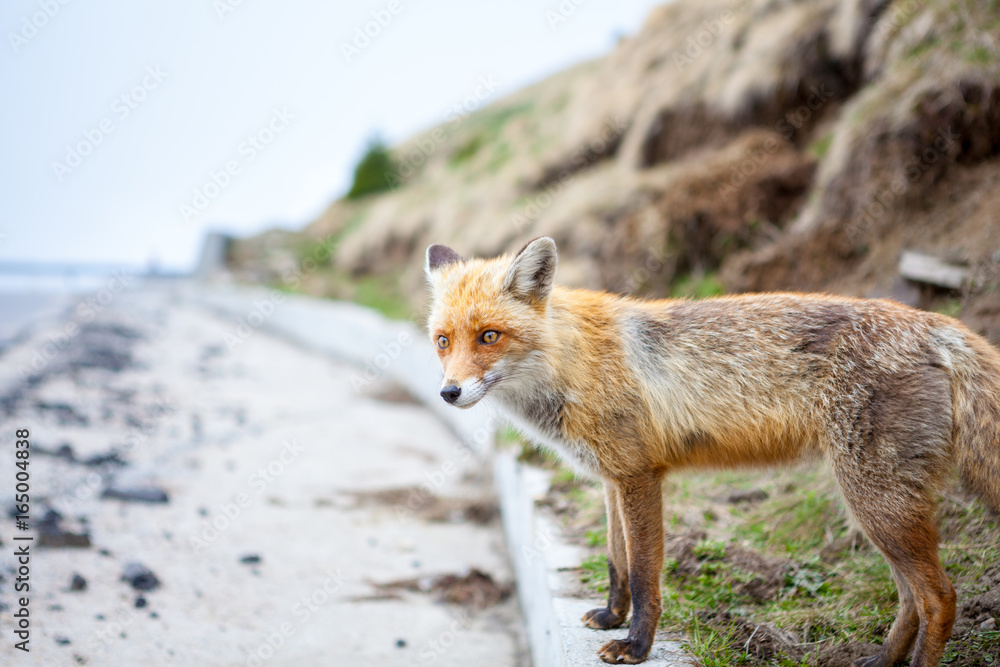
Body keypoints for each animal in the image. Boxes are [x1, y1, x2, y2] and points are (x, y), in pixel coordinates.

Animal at [422, 237, 1000, 664]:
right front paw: (609, 618)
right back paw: (880, 661)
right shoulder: (612, 479)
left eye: (490, 336)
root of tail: (935, 323)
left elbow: (645, 575)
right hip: (875, 506)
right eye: (443, 341)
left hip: (875, 501)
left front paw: (636, 646)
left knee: (939, 599)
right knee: (910, 600)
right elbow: (616, 564)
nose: (448, 393)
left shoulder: (640, 476)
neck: (570, 362)